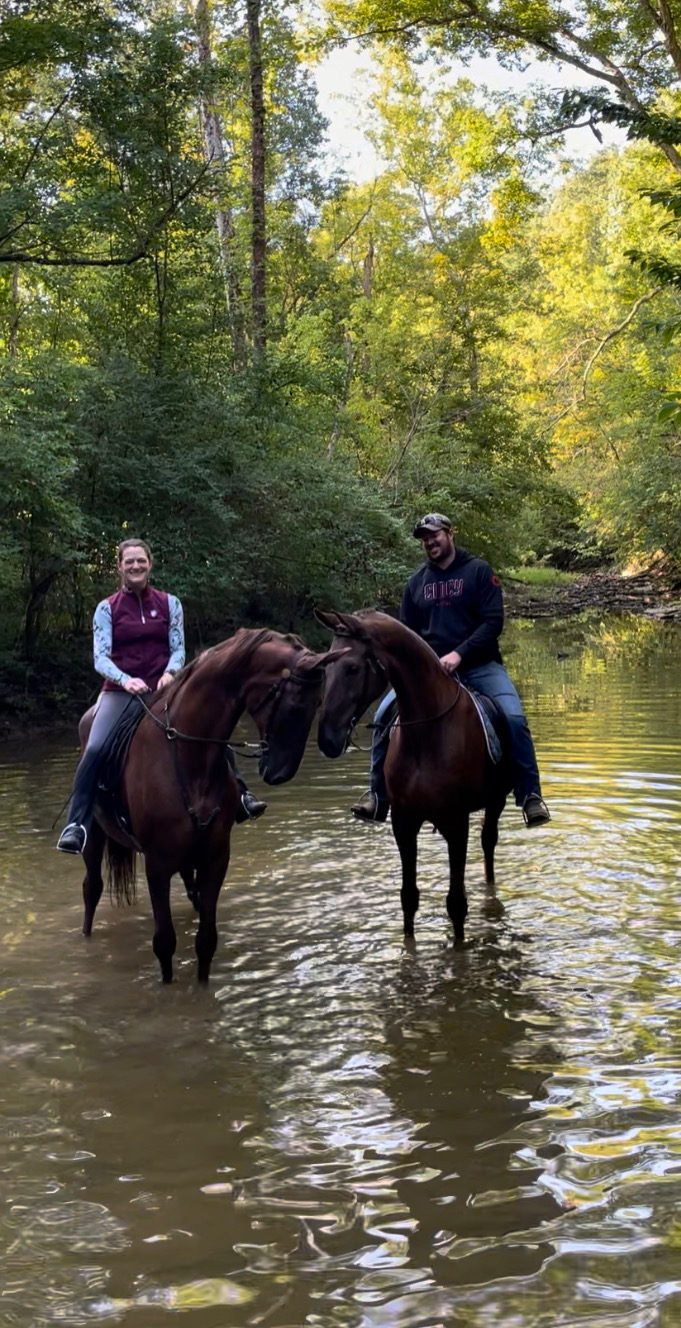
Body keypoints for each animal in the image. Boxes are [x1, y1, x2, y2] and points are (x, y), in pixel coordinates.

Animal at [80, 626, 345, 982]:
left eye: (317, 703)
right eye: (294, 706)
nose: (280, 773)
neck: (189, 756)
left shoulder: (215, 856)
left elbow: (206, 941)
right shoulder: (157, 863)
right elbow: (164, 942)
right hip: (94, 837)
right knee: (91, 888)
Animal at [313, 610, 509, 945]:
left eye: (352, 668)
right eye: (325, 667)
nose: (327, 738)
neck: (427, 732)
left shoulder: (456, 823)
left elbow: (456, 903)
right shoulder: (403, 822)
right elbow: (408, 897)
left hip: (496, 802)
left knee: (488, 841)